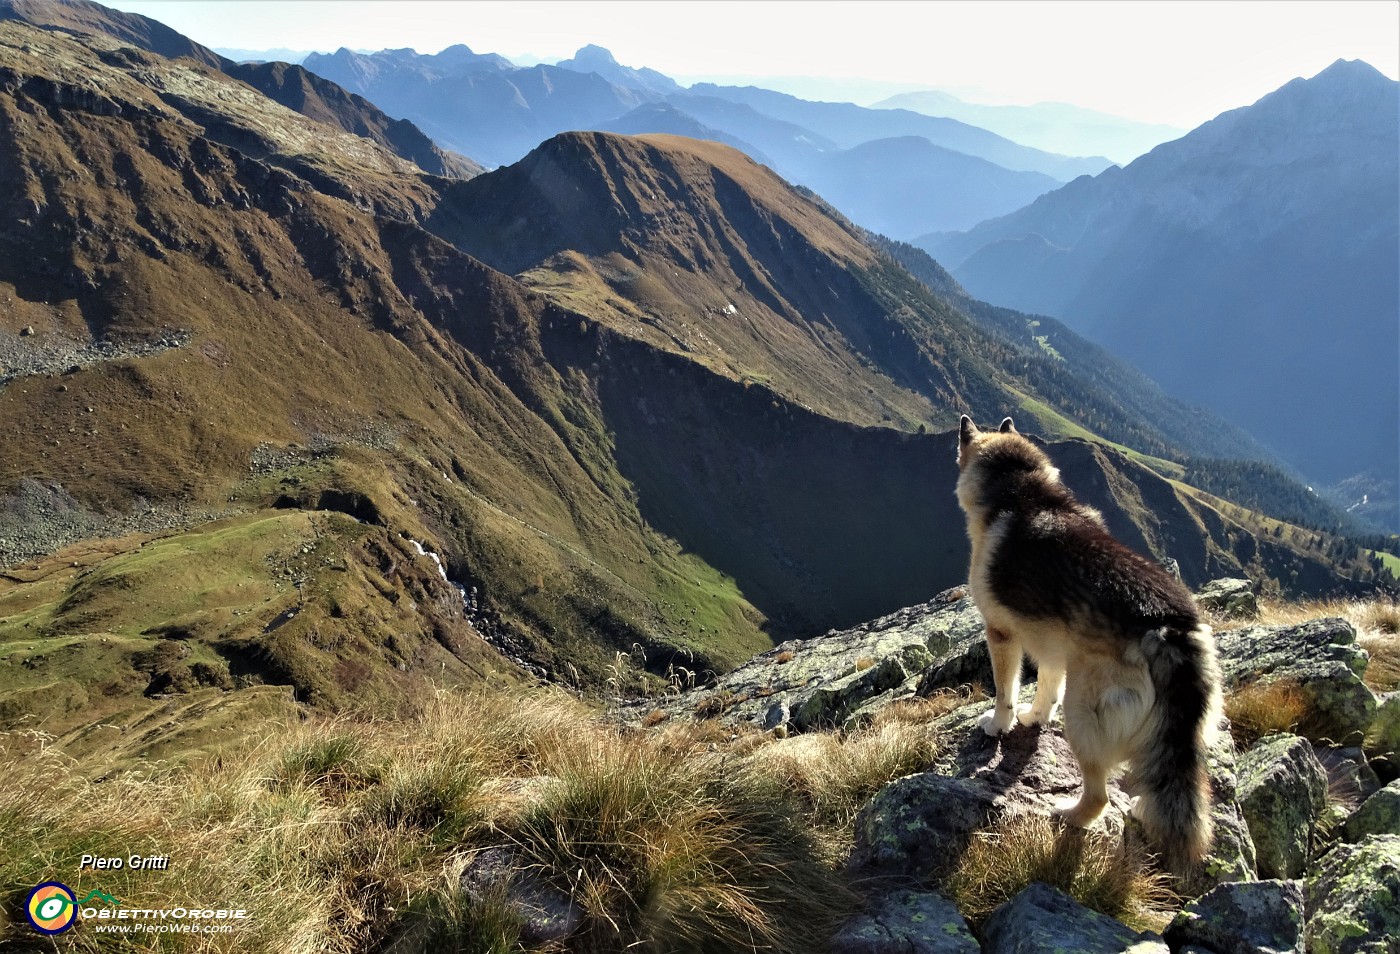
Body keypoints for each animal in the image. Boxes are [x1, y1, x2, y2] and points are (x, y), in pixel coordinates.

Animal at [957, 411, 1220, 874]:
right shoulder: (1055, 645)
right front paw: (1034, 718)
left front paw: (999, 723)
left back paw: (1068, 815)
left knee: (1099, 796)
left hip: (1084, 713)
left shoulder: (1001, 634)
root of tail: (1169, 627)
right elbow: (1046, 687)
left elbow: (1005, 691)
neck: (1020, 489)